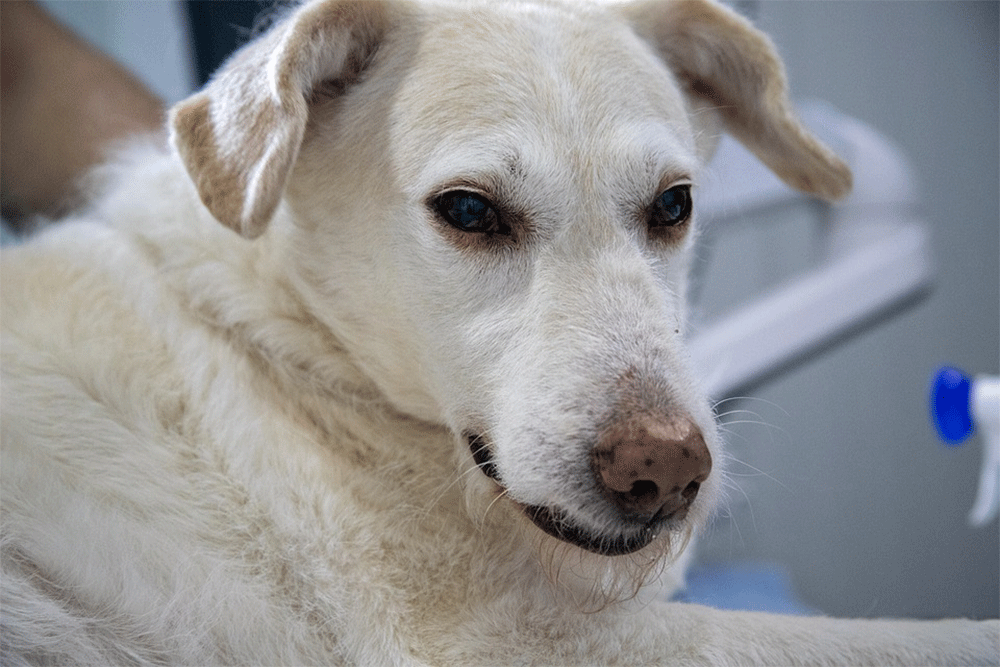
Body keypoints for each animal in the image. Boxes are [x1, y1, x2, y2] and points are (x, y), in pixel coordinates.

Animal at [1, 1, 1000, 664]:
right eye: (470, 210)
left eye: (674, 205)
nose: (667, 470)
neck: (293, 347)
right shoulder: (502, 642)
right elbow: (924, 638)